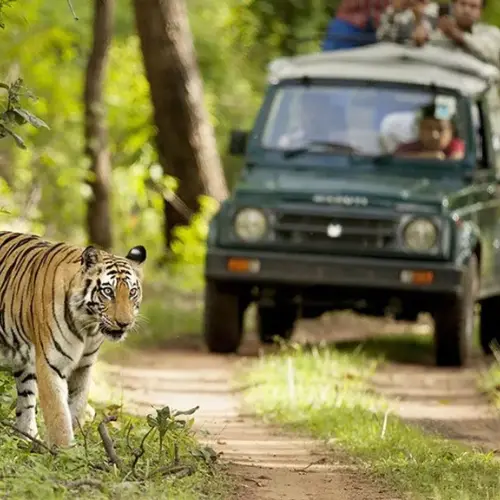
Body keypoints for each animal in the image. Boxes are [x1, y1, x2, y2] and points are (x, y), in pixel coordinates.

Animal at [0, 232, 146, 448]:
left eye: (132, 292)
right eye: (108, 292)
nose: (124, 323)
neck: (88, 327)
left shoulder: (83, 366)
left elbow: (76, 406)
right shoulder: (50, 364)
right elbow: (58, 413)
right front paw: (65, 450)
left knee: (26, 402)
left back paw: (28, 438)